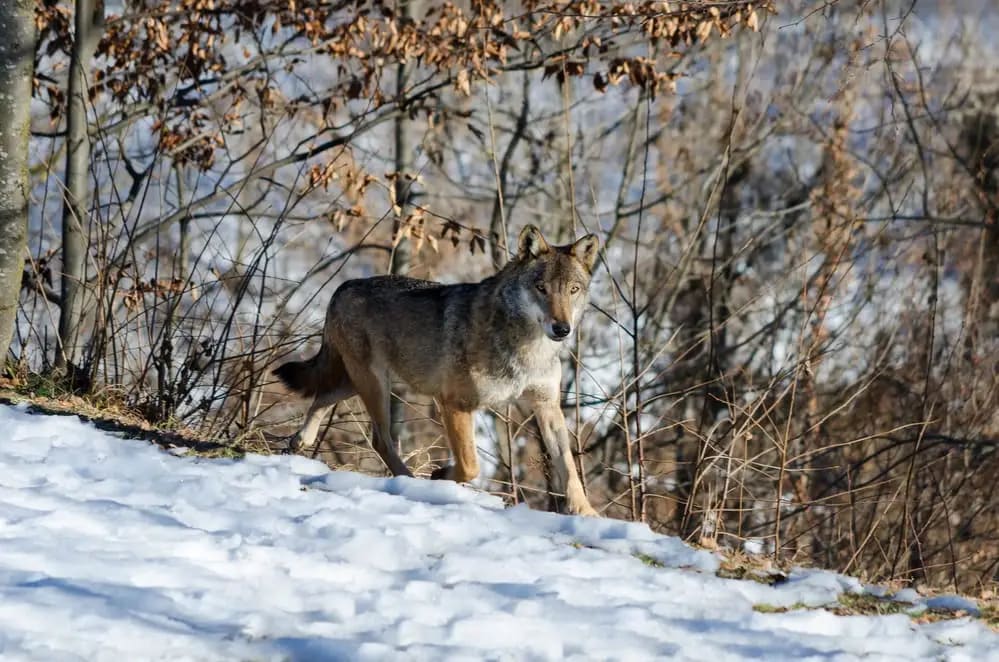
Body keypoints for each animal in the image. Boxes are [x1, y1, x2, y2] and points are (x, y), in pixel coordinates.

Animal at [273, 224, 600, 516]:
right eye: (541, 288)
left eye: (573, 290)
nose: (562, 328)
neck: (528, 347)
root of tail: (342, 287)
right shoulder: (454, 403)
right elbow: (470, 465)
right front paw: (440, 476)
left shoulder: (547, 405)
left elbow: (569, 467)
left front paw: (586, 513)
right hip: (373, 384)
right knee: (380, 439)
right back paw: (409, 481)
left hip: (358, 382)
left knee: (322, 397)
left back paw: (300, 440)